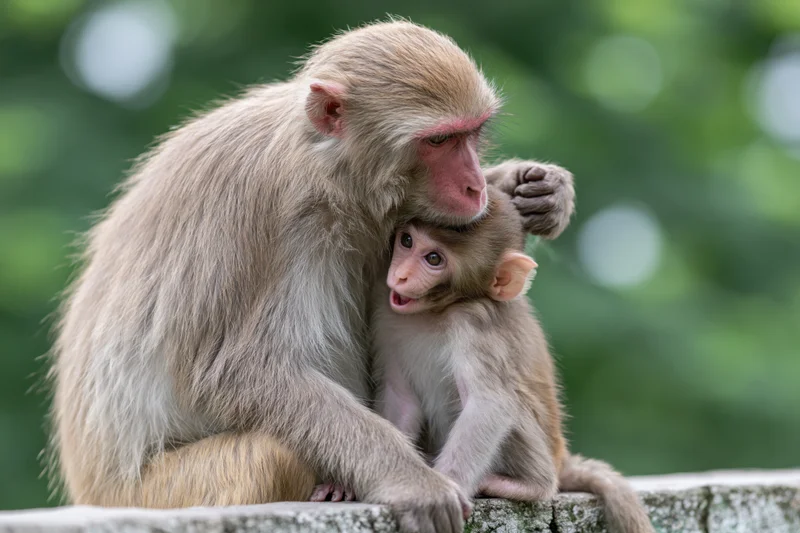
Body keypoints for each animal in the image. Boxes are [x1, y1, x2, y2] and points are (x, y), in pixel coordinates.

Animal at [49, 20, 576, 533]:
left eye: (472, 134)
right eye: (438, 141)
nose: (473, 185)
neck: (325, 168)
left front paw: (537, 193)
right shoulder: (269, 211)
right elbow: (235, 371)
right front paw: (411, 480)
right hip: (152, 491)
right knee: (269, 457)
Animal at [361, 186, 652, 533]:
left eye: (434, 259)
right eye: (407, 240)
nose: (402, 276)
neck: (434, 312)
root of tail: (561, 459)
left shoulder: (473, 324)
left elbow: (491, 402)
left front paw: (447, 483)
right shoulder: (384, 310)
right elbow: (401, 397)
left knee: (510, 400)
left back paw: (532, 485)